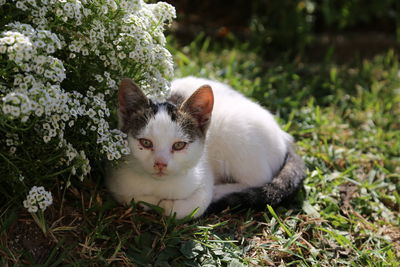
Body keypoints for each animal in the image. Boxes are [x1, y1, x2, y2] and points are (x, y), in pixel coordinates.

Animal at [107, 76, 306, 219]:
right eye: (146, 143)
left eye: (179, 145)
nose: (160, 164)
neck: (159, 186)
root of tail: (284, 136)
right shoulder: (117, 181)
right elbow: (131, 197)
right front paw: (150, 201)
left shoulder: (203, 176)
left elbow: (189, 206)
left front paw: (166, 205)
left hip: (236, 131)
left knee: (260, 179)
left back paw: (221, 192)